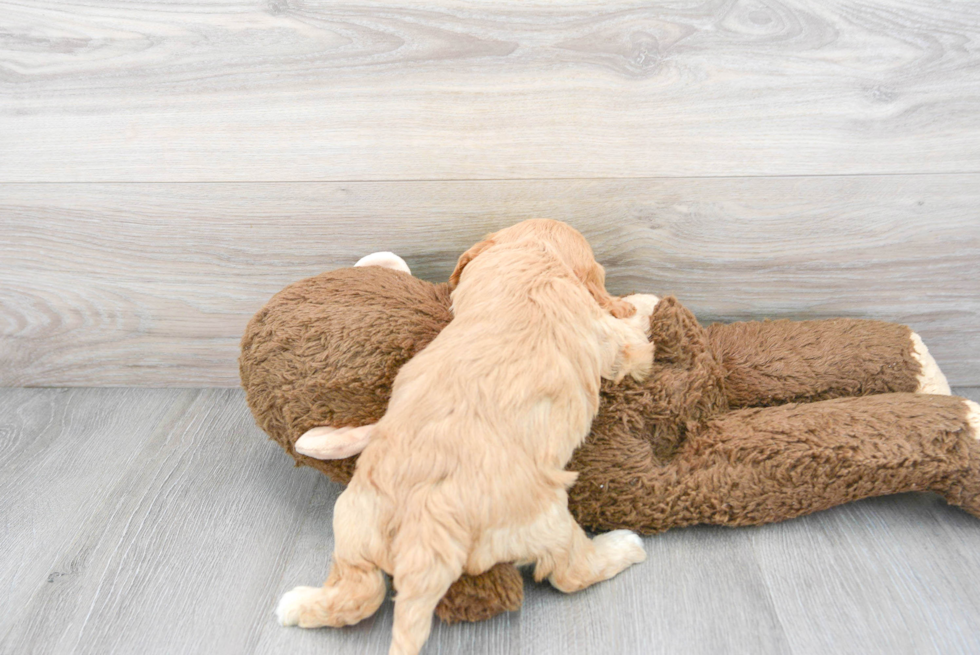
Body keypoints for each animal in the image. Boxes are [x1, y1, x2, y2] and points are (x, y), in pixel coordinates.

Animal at [278, 222, 652, 655]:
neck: (532, 262)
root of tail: (425, 530)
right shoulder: (613, 339)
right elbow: (633, 336)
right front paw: (644, 301)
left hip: (353, 521)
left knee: (359, 592)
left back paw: (295, 604)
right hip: (546, 519)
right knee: (571, 571)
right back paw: (623, 546)